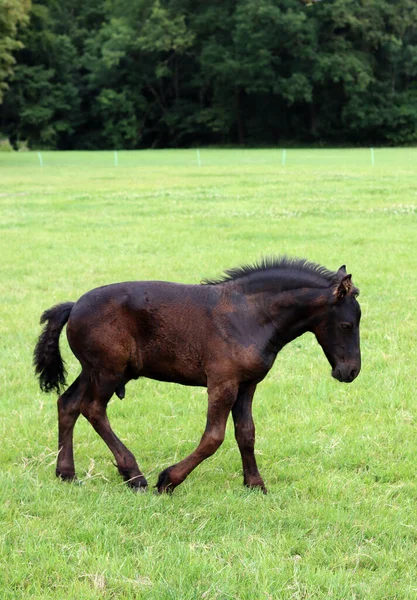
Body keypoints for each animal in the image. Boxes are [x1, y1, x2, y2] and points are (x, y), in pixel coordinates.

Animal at [34, 255, 360, 494]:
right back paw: (134, 474)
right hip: (108, 371)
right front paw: (168, 480)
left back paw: (66, 472)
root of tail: (74, 305)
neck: (249, 315)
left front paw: (255, 484)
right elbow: (213, 438)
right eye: (347, 325)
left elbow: (247, 432)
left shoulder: (247, 384)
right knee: (92, 408)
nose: (351, 371)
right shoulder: (222, 384)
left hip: (96, 370)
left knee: (68, 403)